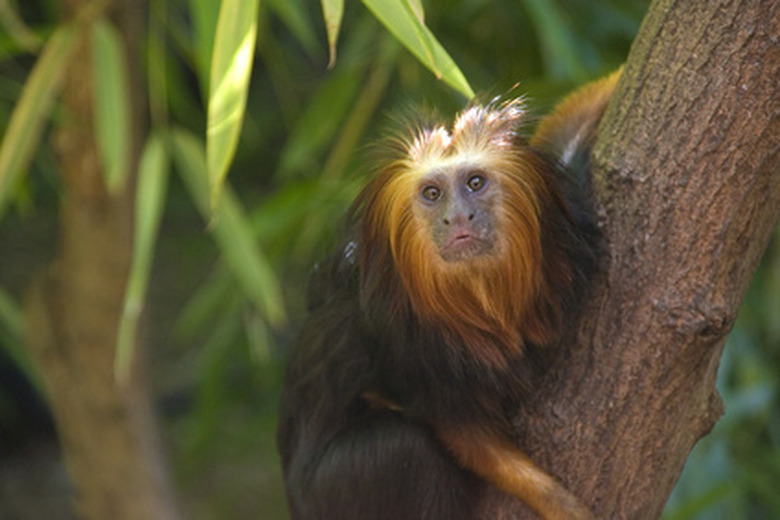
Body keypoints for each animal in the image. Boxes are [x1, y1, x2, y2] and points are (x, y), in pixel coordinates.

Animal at [276, 69, 620, 520]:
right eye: (433, 194)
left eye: (475, 183)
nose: (457, 217)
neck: (479, 293)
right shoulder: (402, 346)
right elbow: (465, 436)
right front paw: (555, 501)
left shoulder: (566, 215)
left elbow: (570, 132)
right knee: (405, 448)